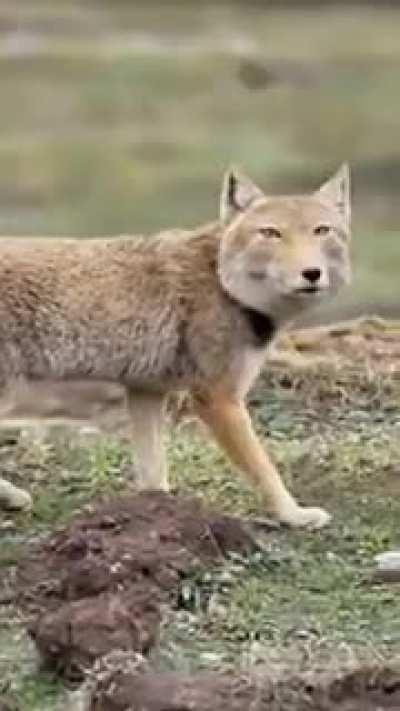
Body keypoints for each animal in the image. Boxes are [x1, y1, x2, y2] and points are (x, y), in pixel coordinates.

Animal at [0, 165, 351, 528]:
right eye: (271, 233)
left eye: (322, 230)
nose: (312, 273)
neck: (221, 281)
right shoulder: (217, 398)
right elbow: (264, 469)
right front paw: (293, 514)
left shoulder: (147, 391)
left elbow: (154, 474)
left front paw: (158, 514)